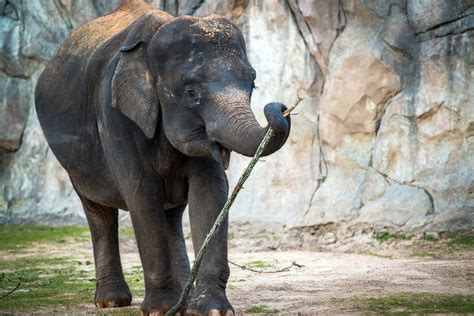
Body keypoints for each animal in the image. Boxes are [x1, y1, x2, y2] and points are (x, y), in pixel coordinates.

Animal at [34, 1, 288, 314]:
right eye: (191, 92)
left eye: (251, 84)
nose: (279, 106)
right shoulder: (114, 116)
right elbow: (142, 194)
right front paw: (159, 309)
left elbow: (211, 194)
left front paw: (212, 310)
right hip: (74, 164)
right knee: (99, 213)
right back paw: (113, 301)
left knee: (170, 215)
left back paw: (182, 300)